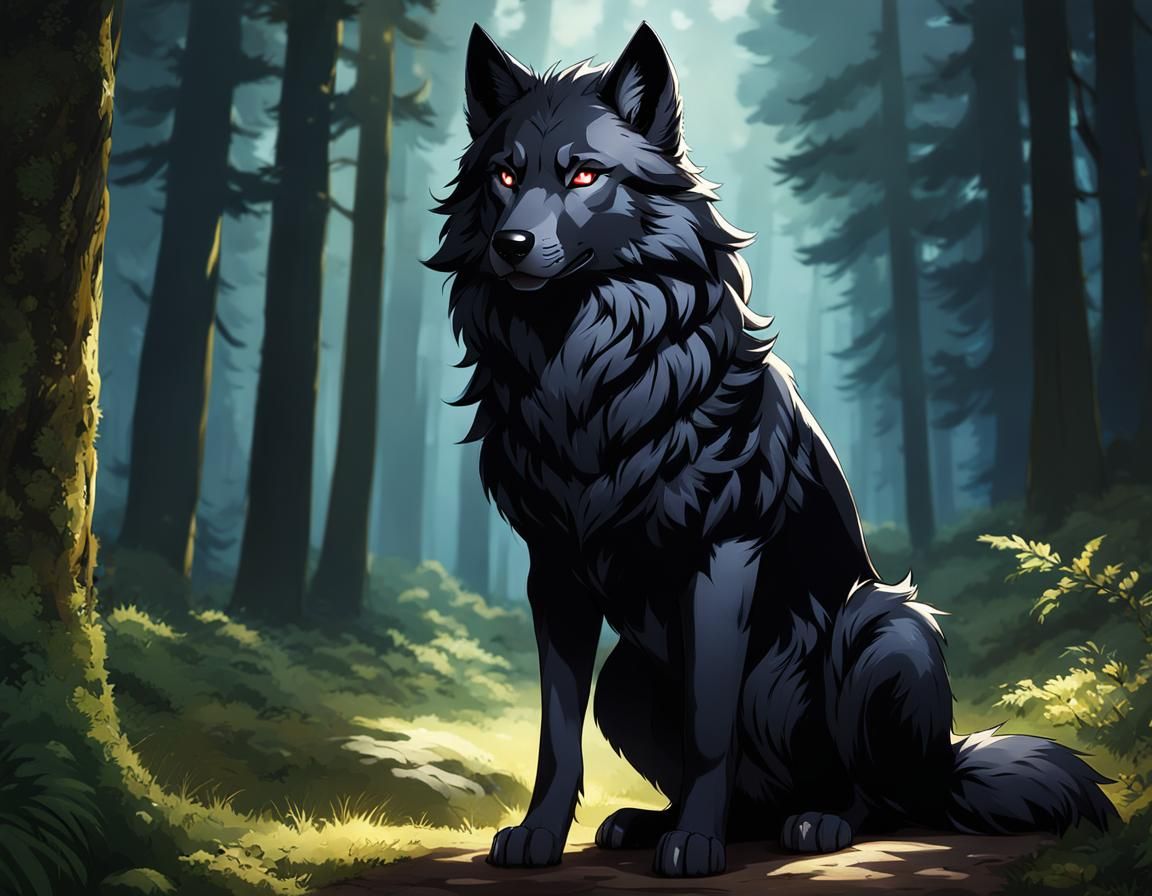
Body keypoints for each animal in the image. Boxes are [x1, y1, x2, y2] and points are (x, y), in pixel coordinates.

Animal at [426, 22, 1116, 879]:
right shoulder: (553, 570)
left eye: (584, 174)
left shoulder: (725, 554)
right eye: (505, 174)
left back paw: (817, 822)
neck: (588, 382)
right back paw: (653, 822)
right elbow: (558, 731)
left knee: (879, 797)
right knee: (750, 796)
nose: (511, 242)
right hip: (626, 675)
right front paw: (540, 837)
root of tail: (947, 769)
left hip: (883, 627)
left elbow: (707, 723)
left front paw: (696, 845)